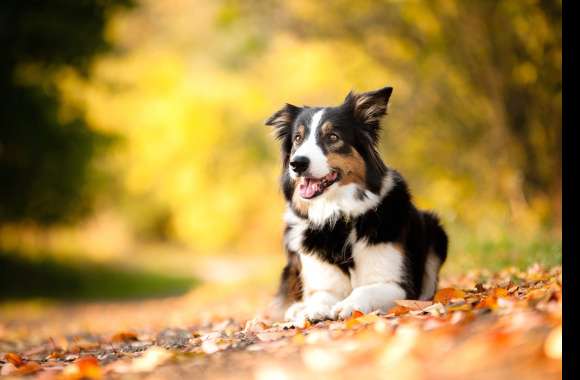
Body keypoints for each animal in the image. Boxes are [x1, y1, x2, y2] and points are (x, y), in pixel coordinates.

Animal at [264, 87, 448, 326]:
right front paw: (310, 309)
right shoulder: (324, 284)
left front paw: (349, 305)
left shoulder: (397, 285)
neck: (338, 219)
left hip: (436, 230)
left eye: (333, 137)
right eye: (298, 138)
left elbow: (365, 290)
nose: (297, 164)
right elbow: (319, 297)